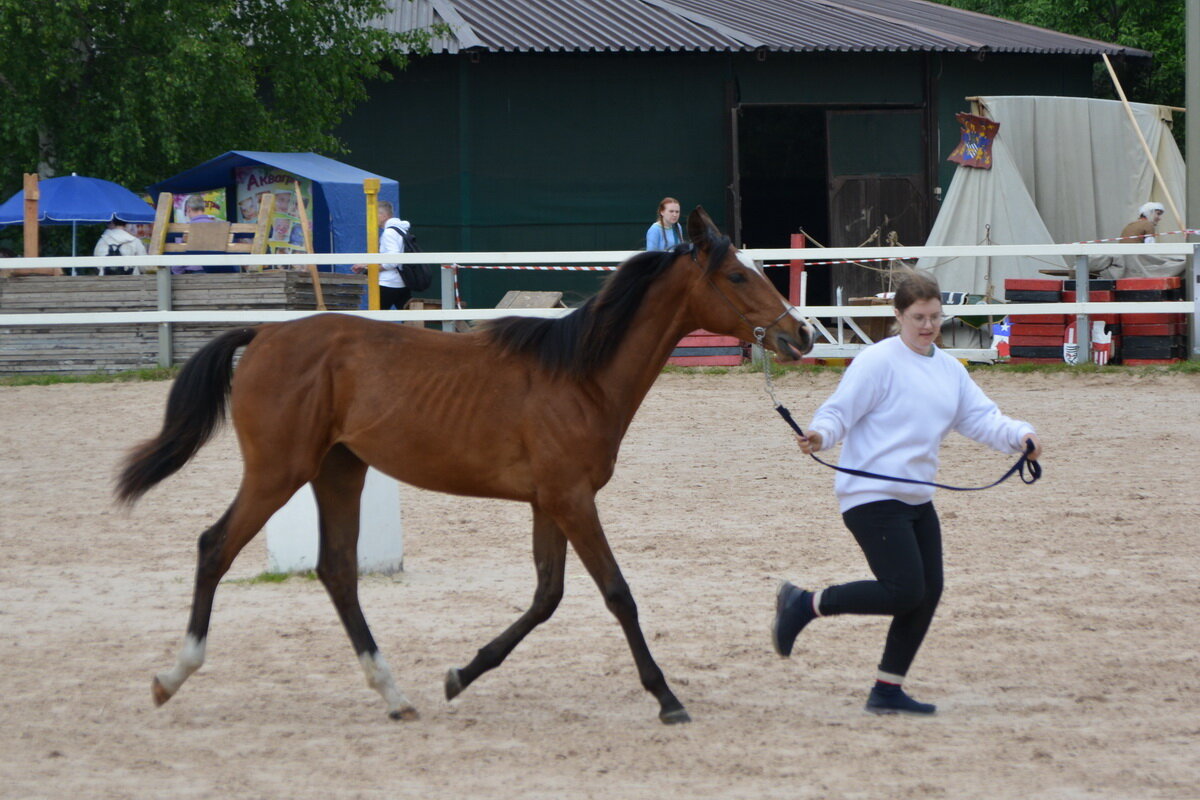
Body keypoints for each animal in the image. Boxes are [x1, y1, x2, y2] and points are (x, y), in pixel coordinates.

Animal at [117, 208, 811, 724]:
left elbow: (546, 597)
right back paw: (171, 676)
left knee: (337, 572)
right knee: (216, 547)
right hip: (277, 473)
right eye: (739, 277)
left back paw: (394, 694)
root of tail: (261, 336)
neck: (580, 377)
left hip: (338, 471)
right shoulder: (572, 500)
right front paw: (666, 697)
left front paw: (460, 675)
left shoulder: (550, 503)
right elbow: (617, 593)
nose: (800, 336)